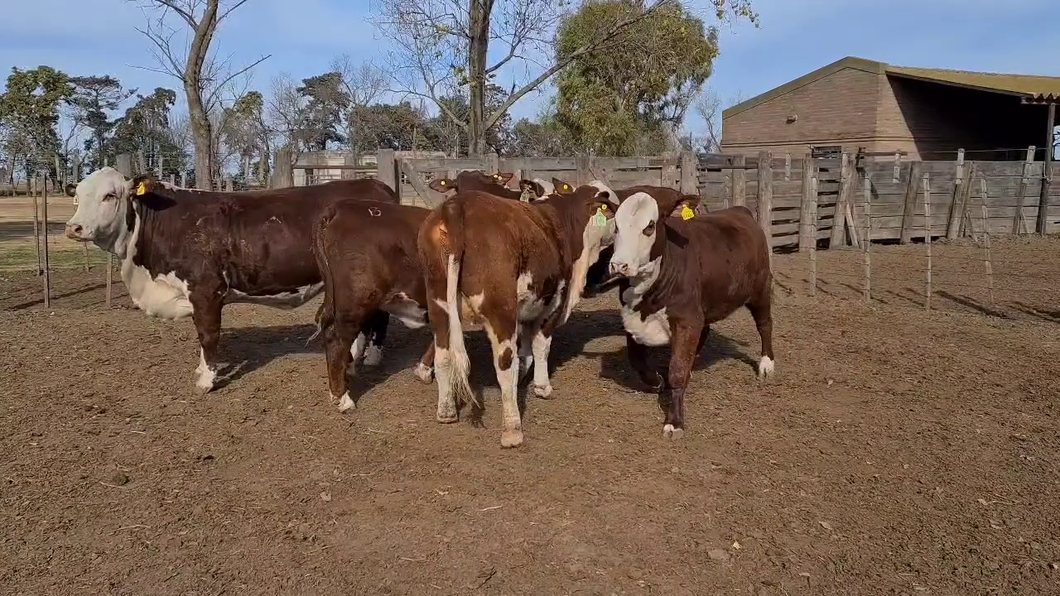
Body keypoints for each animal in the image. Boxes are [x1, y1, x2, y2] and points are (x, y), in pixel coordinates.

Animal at [63, 165, 400, 390]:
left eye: (110, 195)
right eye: (77, 195)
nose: (74, 227)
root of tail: (374, 184)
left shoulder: (206, 290)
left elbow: (208, 335)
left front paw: (206, 380)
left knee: (379, 316)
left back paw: (371, 356)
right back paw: (357, 354)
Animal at [413, 180, 619, 445]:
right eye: (611, 204)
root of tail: (456, 206)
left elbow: (525, 348)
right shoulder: (554, 302)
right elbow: (541, 346)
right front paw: (542, 386)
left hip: (439, 305)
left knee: (444, 356)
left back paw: (446, 411)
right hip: (500, 311)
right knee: (503, 365)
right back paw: (512, 429)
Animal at [606, 193, 771, 439]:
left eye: (650, 227)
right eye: (615, 225)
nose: (619, 265)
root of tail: (740, 210)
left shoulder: (687, 319)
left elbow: (677, 370)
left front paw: (674, 422)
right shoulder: (631, 316)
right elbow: (636, 359)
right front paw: (656, 381)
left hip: (760, 288)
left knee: (765, 324)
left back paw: (767, 364)